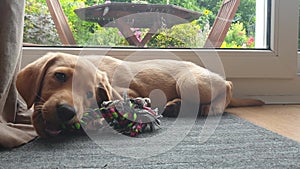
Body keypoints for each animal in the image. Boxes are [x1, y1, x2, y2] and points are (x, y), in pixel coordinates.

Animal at [16, 52, 264, 137]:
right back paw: (175, 106)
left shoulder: (127, 91)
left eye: (89, 93)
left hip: (188, 81)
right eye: (59, 76)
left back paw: (210, 108)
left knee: (228, 87)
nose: (67, 112)